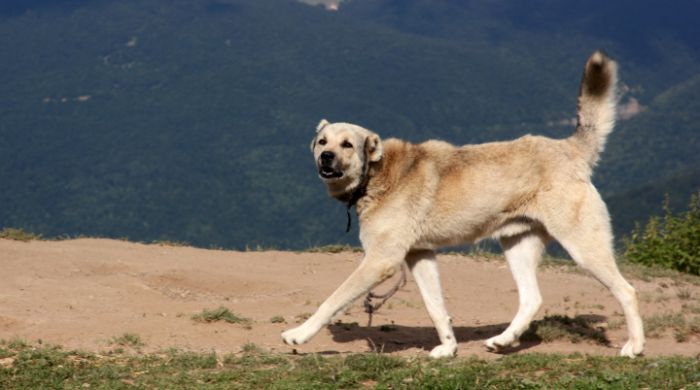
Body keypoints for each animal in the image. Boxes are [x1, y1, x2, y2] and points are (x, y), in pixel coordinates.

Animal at [282, 51, 644, 360]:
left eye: (347, 145)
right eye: (322, 141)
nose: (326, 157)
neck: (376, 175)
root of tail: (568, 148)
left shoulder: (380, 261)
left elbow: (333, 299)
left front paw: (300, 334)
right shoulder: (420, 256)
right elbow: (437, 309)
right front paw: (448, 348)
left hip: (583, 248)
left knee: (627, 290)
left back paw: (635, 346)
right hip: (517, 246)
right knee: (532, 299)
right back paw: (503, 341)